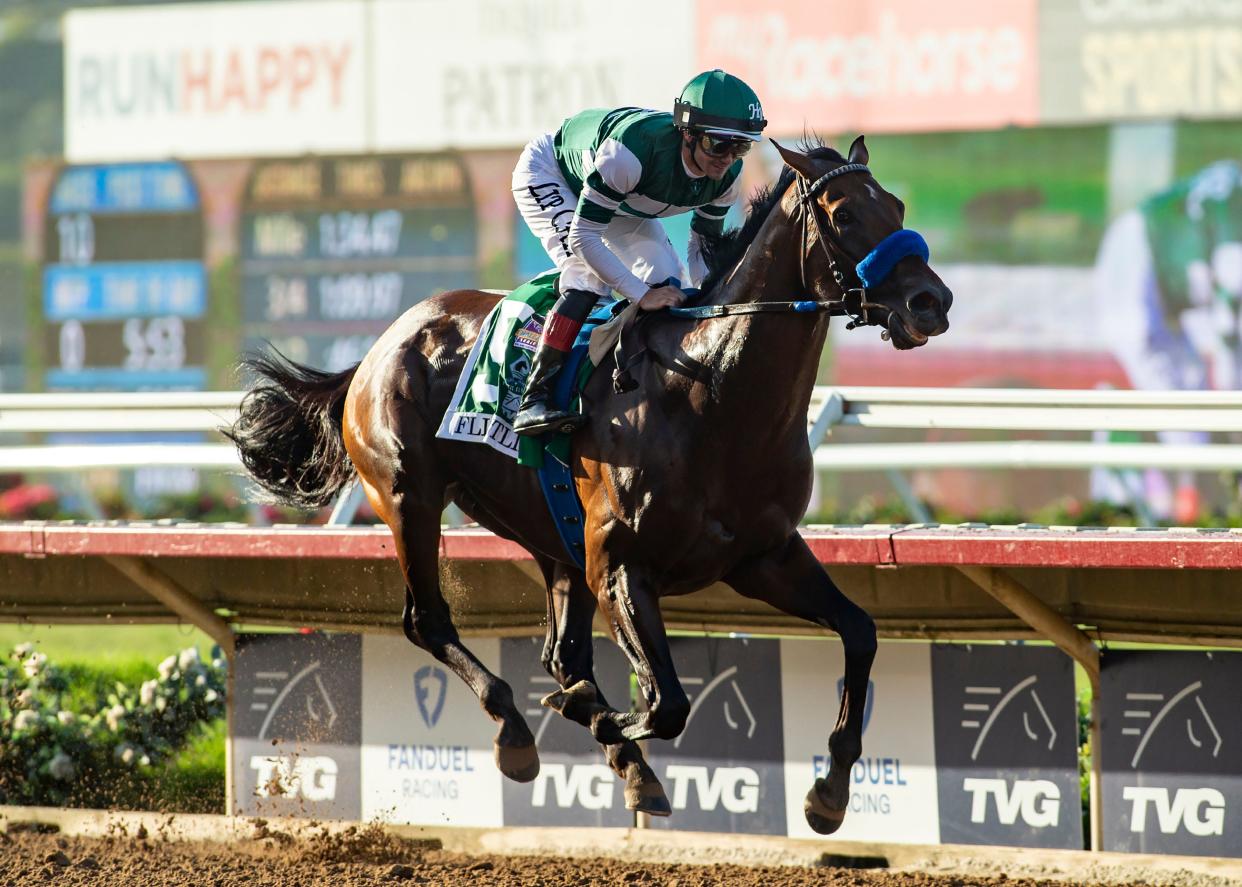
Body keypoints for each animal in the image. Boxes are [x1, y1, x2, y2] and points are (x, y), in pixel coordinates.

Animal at [228, 136, 948, 829]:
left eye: (898, 208)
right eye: (844, 215)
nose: (931, 302)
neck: (710, 393)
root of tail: (379, 347)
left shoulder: (763, 554)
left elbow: (858, 631)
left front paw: (829, 790)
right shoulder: (621, 565)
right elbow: (665, 703)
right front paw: (602, 721)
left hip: (549, 533)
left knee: (561, 654)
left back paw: (615, 755)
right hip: (411, 497)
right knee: (429, 621)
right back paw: (517, 733)